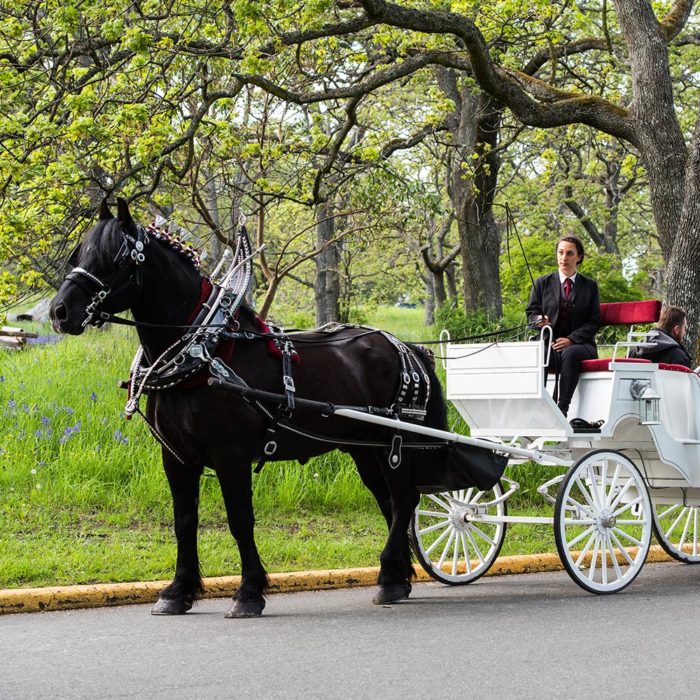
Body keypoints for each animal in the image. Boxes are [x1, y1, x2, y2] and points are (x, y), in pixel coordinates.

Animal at [50, 198, 492, 616]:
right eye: (78, 253)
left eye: (114, 258)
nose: (59, 312)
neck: (204, 351)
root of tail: (406, 347)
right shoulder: (175, 457)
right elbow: (184, 521)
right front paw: (178, 592)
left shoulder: (230, 455)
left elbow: (240, 520)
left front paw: (248, 593)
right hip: (364, 449)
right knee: (390, 502)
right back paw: (396, 578)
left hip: (395, 443)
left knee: (404, 501)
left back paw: (389, 574)